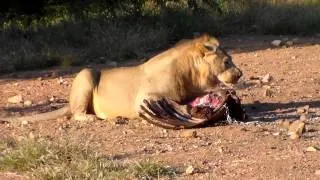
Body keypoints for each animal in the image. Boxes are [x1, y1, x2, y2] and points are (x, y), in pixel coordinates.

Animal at [1, 33, 242, 128]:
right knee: (78, 113)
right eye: (227, 62)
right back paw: (97, 118)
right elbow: (172, 104)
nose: (240, 74)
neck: (191, 75)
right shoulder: (146, 96)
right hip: (86, 74)